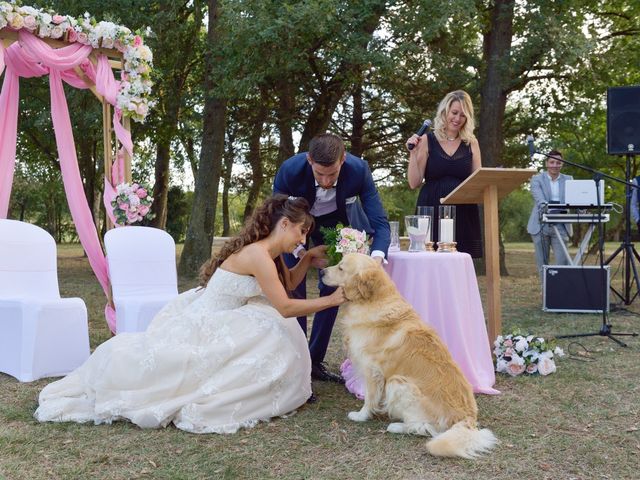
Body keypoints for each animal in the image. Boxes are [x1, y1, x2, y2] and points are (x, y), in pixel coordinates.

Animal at [322, 253, 498, 460]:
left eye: (341, 268)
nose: (321, 271)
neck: (372, 301)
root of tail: (467, 418)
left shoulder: (372, 369)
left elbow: (369, 398)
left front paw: (361, 415)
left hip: (398, 383)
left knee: (425, 428)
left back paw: (396, 425)